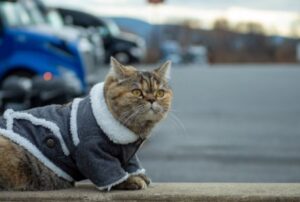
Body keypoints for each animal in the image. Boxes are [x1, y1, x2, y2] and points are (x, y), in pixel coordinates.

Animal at [0, 57, 172, 191]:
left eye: (160, 93)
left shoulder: (129, 154)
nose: (152, 99)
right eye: (137, 92)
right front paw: (130, 180)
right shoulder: (91, 153)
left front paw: (139, 175)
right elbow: (109, 172)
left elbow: (132, 164)